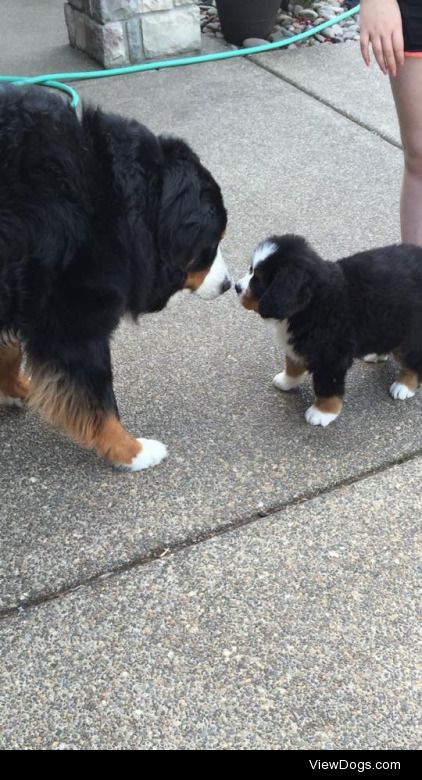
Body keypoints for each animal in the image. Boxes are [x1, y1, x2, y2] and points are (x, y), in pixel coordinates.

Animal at [0, 88, 231, 472]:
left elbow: (10, 346)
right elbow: (98, 395)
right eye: (209, 246)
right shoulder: (74, 313)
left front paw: (15, 388)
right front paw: (132, 451)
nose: (229, 284)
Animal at [236, 233, 422, 426]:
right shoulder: (299, 343)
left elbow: (327, 386)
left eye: (257, 280)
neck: (312, 303)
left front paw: (322, 412)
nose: (236, 287)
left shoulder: (331, 355)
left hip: (412, 331)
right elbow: (292, 363)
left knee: (413, 359)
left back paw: (404, 385)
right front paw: (287, 381)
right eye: (251, 270)